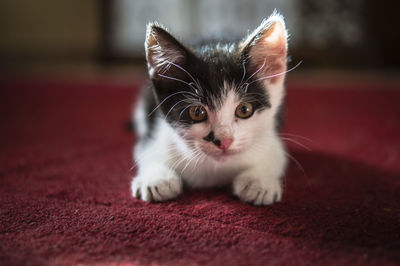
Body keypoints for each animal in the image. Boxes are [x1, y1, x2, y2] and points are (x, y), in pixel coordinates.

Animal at [133, 10, 290, 206]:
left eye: (244, 110)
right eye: (197, 112)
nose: (224, 141)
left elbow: (275, 156)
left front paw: (258, 181)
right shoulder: (154, 134)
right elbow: (145, 152)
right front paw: (156, 178)